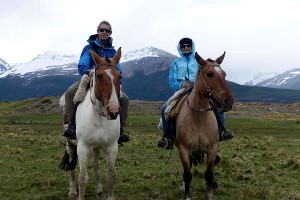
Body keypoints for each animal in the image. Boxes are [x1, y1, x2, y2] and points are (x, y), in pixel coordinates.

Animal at [59, 47, 122, 199]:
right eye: (98, 76)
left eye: (119, 76)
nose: (113, 110)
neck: (99, 117)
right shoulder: (83, 147)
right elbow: (82, 178)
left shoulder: (112, 147)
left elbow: (110, 175)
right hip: (71, 145)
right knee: (72, 167)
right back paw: (72, 191)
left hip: (96, 147)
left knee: (95, 165)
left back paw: (98, 189)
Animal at [176, 52, 234, 200]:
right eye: (209, 74)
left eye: (224, 74)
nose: (229, 101)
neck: (199, 118)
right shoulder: (184, 149)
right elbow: (187, 174)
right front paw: (187, 195)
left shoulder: (212, 149)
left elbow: (208, 173)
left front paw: (209, 193)